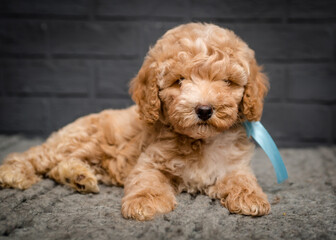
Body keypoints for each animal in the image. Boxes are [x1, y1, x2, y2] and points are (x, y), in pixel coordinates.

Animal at [0, 23, 270, 220]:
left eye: (227, 82)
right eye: (179, 81)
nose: (204, 110)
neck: (201, 141)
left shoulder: (235, 164)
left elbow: (242, 178)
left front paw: (251, 197)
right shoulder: (149, 160)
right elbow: (147, 180)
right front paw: (146, 202)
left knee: (58, 166)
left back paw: (77, 178)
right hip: (77, 140)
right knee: (36, 156)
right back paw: (13, 173)